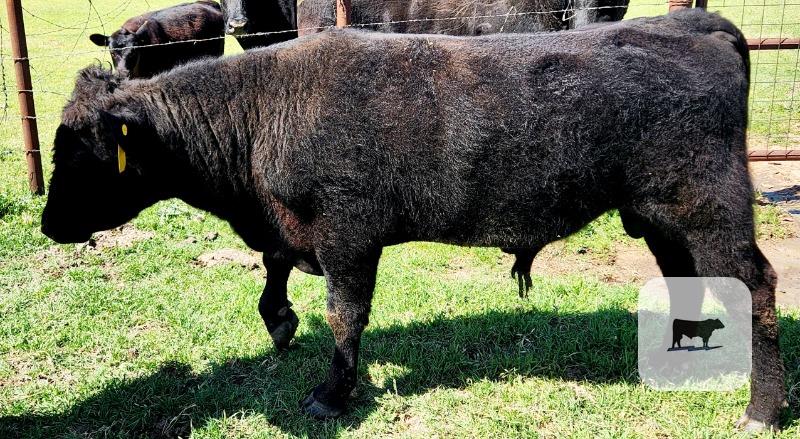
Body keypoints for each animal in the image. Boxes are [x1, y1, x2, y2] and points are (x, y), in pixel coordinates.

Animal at [41, 10, 783, 431]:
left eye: (82, 154)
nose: (47, 225)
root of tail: (695, 24)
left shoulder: (347, 233)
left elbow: (344, 314)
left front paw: (332, 392)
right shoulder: (291, 226)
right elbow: (274, 269)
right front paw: (279, 321)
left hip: (709, 206)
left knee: (758, 288)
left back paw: (762, 409)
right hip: (660, 215)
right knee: (687, 276)